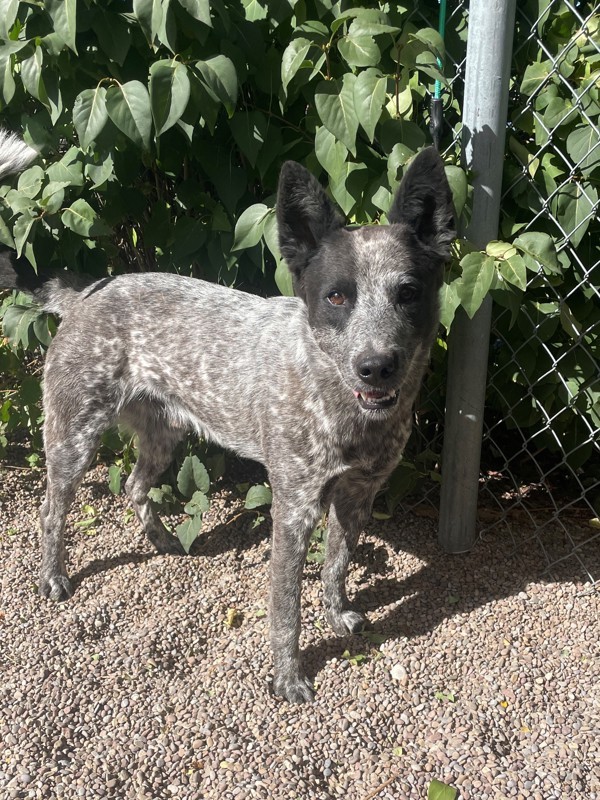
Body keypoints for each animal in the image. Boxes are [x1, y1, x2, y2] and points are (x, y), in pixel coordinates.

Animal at [0, 133, 454, 708]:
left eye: (409, 293)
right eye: (336, 296)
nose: (375, 366)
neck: (337, 401)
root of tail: (88, 291)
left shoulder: (358, 494)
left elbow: (337, 565)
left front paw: (338, 615)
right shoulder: (294, 508)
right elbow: (286, 609)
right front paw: (287, 678)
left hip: (163, 434)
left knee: (134, 485)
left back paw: (163, 540)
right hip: (73, 438)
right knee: (52, 510)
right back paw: (53, 577)